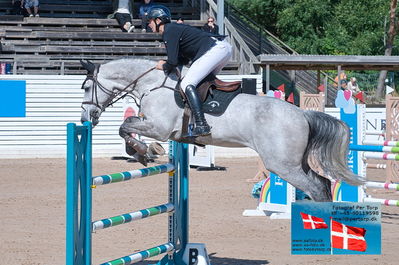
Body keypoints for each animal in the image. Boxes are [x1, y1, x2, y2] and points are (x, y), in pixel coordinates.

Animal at [79, 57, 364, 200]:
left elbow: (125, 126)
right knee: (322, 184)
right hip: (296, 163)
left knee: (316, 188)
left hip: (282, 165)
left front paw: (143, 151)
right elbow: (126, 127)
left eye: (86, 87)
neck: (151, 83)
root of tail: (303, 114)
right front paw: (142, 153)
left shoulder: (158, 127)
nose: (85, 118)